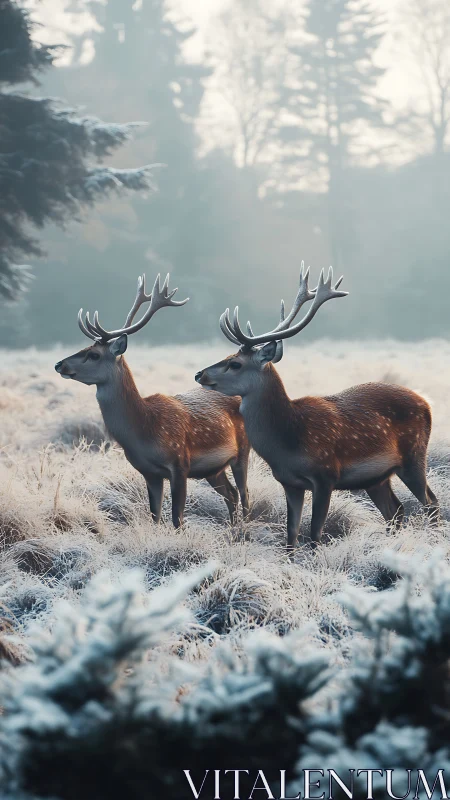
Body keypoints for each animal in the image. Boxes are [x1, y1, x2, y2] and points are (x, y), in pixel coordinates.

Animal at [55, 274, 250, 528]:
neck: (145, 431)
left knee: (244, 494)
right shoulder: (149, 473)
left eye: (94, 354)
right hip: (214, 469)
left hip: (244, 450)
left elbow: (177, 518)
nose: (59, 364)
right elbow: (155, 516)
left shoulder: (180, 463)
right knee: (231, 494)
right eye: (84, 347)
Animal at [195, 264, 439, 549]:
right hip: (377, 477)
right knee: (396, 510)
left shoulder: (326, 475)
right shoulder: (289, 482)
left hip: (414, 455)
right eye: (227, 356)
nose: (200, 374)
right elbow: (291, 533)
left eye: (235, 364)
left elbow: (315, 533)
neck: (289, 442)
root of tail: (426, 403)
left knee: (431, 502)